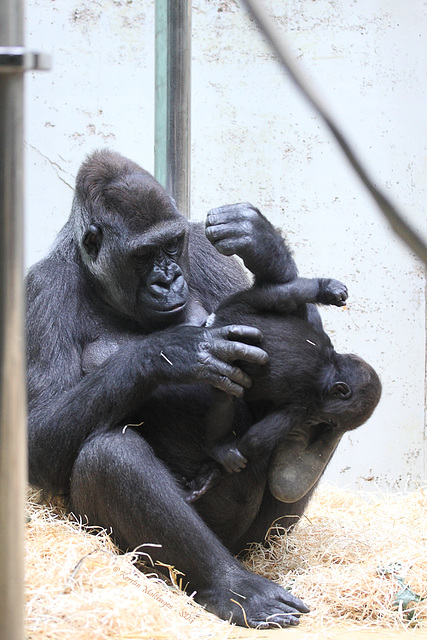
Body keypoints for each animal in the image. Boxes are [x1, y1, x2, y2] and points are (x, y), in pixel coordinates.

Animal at [27, 149, 314, 624]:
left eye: (171, 245)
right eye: (144, 255)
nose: (169, 278)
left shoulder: (201, 247)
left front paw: (264, 247)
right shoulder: (41, 291)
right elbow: (37, 436)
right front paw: (173, 351)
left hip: (256, 542)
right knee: (109, 454)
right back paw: (232, 587)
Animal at [189, 272, 382, 502]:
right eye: (329, 421)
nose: (316, 421)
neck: (331, 367)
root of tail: (217, 321)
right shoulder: (304, 405)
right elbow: (256, 441)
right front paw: (215, 472)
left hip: (240, 310)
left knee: (280, 295)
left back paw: (324, 287)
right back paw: (217, 448)